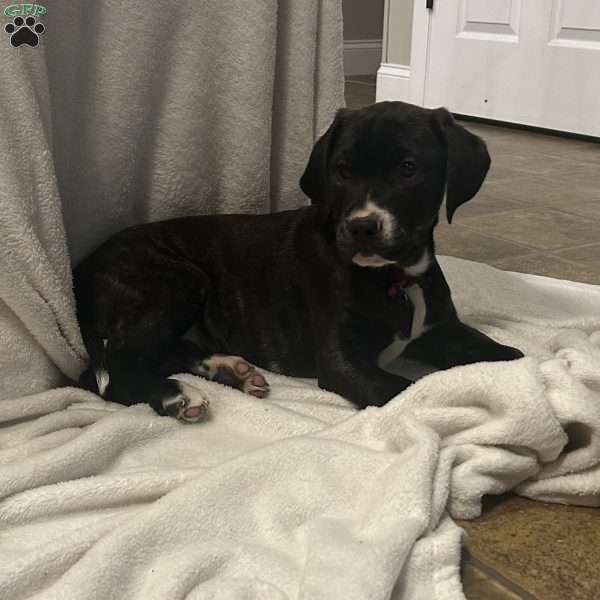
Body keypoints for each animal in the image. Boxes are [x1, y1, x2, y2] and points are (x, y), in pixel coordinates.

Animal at [72, 102, 524, 422]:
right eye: (341, 170)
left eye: (408, 168)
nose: (362, 227)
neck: (397, 279)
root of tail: (83, 267)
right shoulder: (343, 363)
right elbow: (407, 391)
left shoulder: (444, 330)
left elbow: (509, 355)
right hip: (176, 282)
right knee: (110, 376)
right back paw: (176, 394)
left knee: (163, 353)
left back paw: (231, 370)